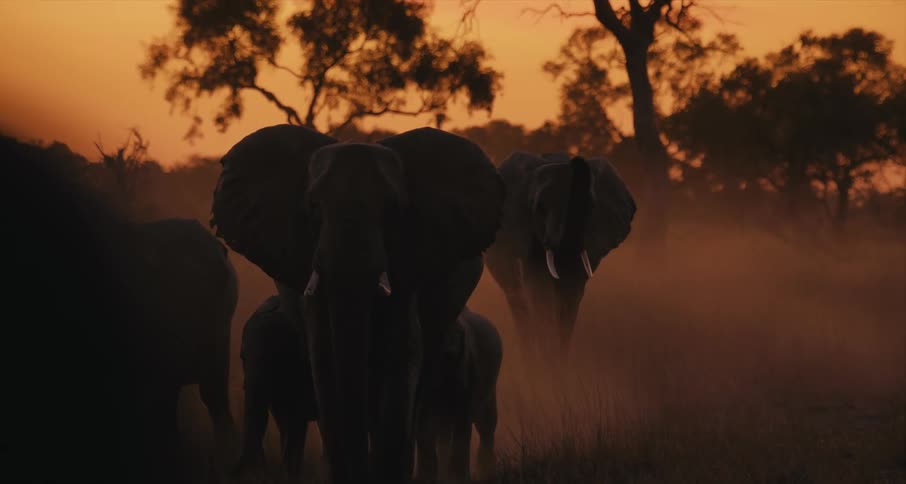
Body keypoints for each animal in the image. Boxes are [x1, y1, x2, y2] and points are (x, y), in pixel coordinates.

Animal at [415, 307, 502, 483]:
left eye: (453, 356)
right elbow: (425, 431)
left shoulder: (468, 369)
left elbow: (463, 425)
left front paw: (458, 478)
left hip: (490, 385)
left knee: (486, 426)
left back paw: (486, 474)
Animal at [485, 152, 635, 365]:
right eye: (540, 208)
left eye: (588, 206)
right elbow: (540, 291)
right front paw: (548, 366)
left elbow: (572, 292)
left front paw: (560, 364)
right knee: (517, 298)